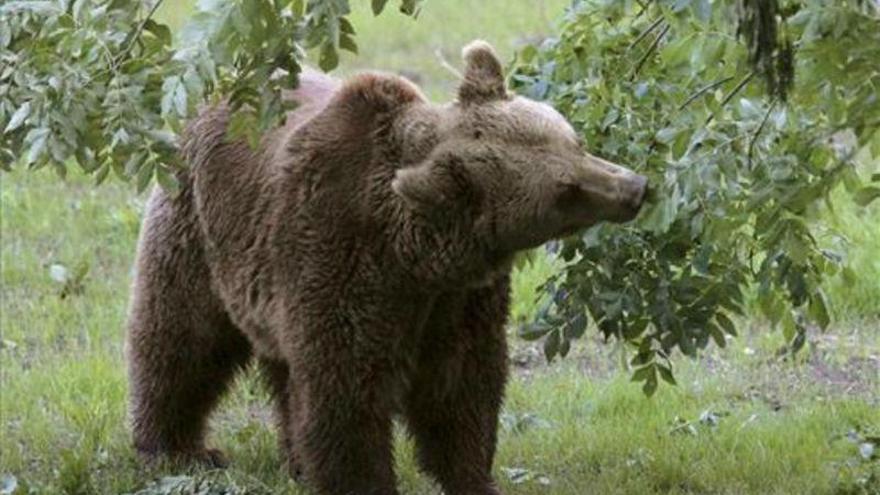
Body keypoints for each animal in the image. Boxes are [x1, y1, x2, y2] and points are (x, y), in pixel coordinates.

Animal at [125, 39, 648, 495]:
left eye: (574, 141)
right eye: (565, 191)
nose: (636, 187)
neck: (416, 258)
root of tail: (216, 90)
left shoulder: (458, 300)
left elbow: (462, 390)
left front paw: (473, 476)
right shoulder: (341, 256)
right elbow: (347, 395)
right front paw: (363, 480)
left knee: (278, 365)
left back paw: (293, 461)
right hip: (198, 224)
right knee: (181, 337)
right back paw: (177, 449)